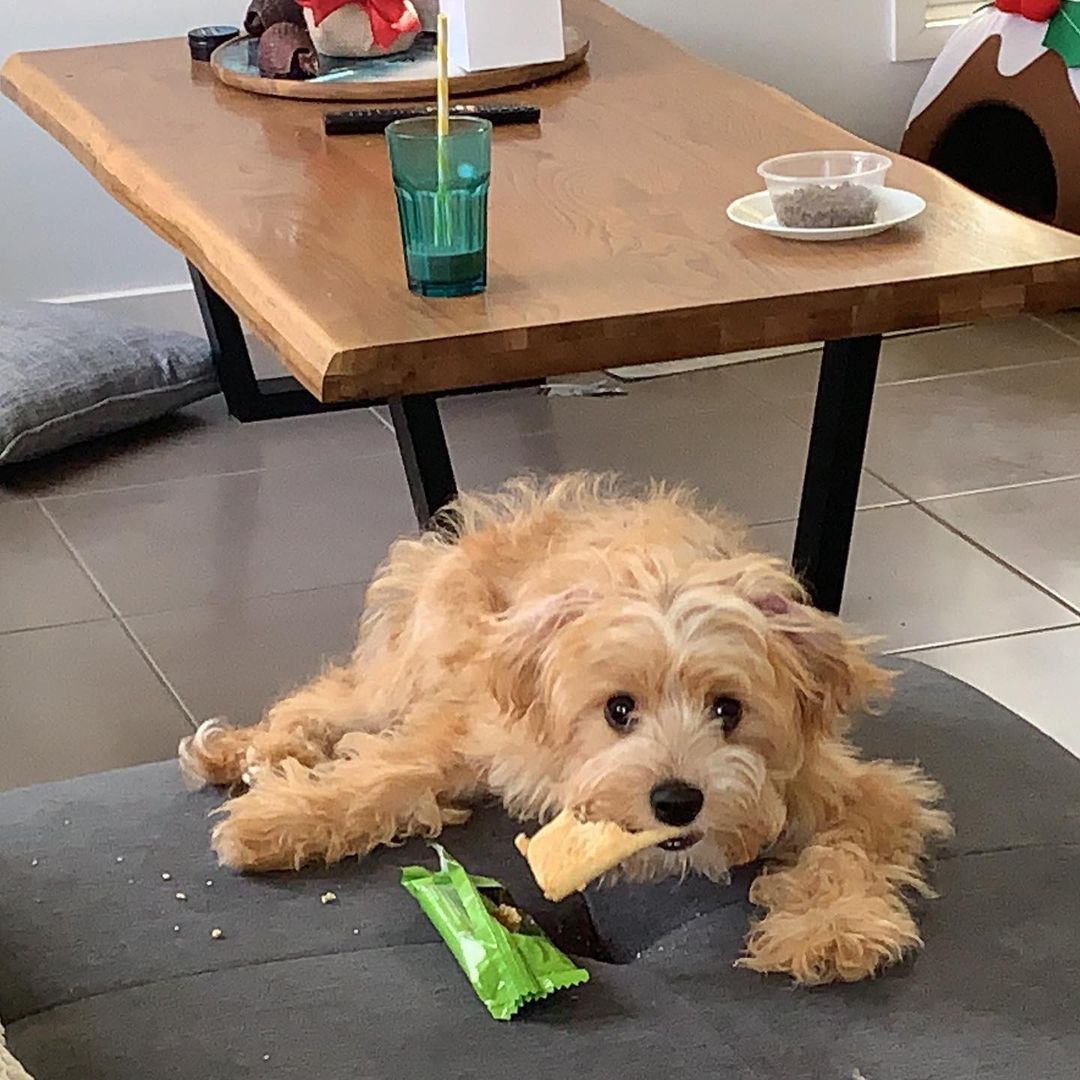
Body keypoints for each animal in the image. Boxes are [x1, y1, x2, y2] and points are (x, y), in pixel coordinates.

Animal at [181, 477, 950, 984]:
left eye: (728, 709)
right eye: (619, 709)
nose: (677, 801)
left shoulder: (847, 783)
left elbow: (855, 842)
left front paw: (833, 928)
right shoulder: (472, 726)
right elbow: (389, 769)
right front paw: (277, 821)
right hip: (419, 655)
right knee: (335, 694)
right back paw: (244, 750)